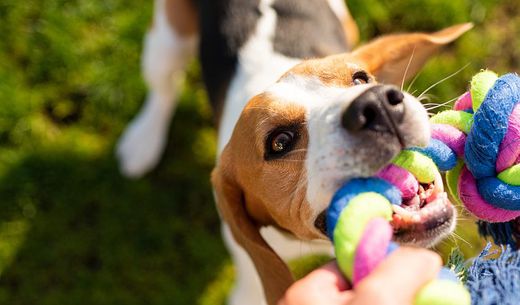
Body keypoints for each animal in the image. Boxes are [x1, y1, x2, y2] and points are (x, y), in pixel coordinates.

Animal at [117, 0, 472, 304]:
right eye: (280, 142)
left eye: (360, 79)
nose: (377, 105)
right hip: (167, 40)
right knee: (164, 87)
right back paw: (143, 140)